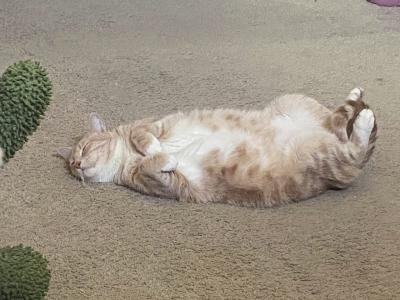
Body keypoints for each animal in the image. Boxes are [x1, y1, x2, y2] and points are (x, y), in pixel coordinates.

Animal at [57, 88, 378, 207]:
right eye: (71, 166)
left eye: (83, 150)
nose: (77, 164)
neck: (125, 158)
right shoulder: (169, 184)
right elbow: (153, 166)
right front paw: (164, 156)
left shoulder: (153, 125)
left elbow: (144, 138)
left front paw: (154, 148)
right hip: (329, 156)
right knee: (344, 133)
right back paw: (360, 110)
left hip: (298, 108)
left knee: (346, 130)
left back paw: (360, 109)